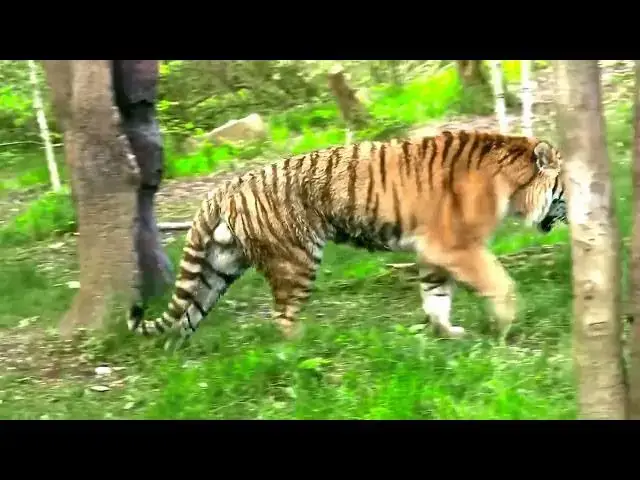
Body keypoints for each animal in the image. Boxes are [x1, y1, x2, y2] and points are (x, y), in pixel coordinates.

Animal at [127, 129, 567, 344]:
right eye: (567, 186)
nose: (576, 211)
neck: (511, 182)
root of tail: (223, 188)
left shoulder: (433, 251)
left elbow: (436, 297)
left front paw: (448, 334)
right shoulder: (458, 246)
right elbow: (499, 282)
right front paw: (507, 323)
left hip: (219, 267)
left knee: (186, 317)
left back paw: (180, 363)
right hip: (297, 260)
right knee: (281, 316)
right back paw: (304, 347)